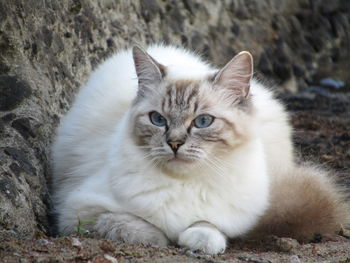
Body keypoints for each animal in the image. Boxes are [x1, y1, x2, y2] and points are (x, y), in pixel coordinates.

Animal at [50, 44, 348, 255]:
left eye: (203, 121)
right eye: (157, 119)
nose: (174, 143)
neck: (184, 183)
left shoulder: (230, 215)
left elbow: (208, 226)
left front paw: (198, 240)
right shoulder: (79, 209)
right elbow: (133, 225)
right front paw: (163, 238)